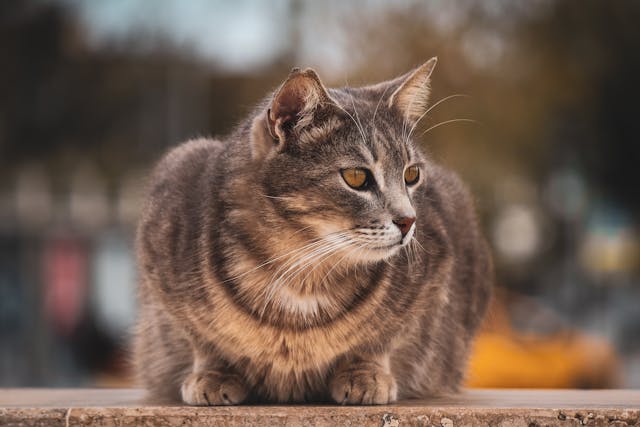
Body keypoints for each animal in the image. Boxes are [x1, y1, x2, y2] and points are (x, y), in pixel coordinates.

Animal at [134, 57, 496, 408]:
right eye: (356, 177)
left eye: (412, 174)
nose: (409, 221)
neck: (302, 266)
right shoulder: (164, 224)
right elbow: (202, 339)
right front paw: (213, 374)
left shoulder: (434, 276)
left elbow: (382, 337)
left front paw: (366, 374)